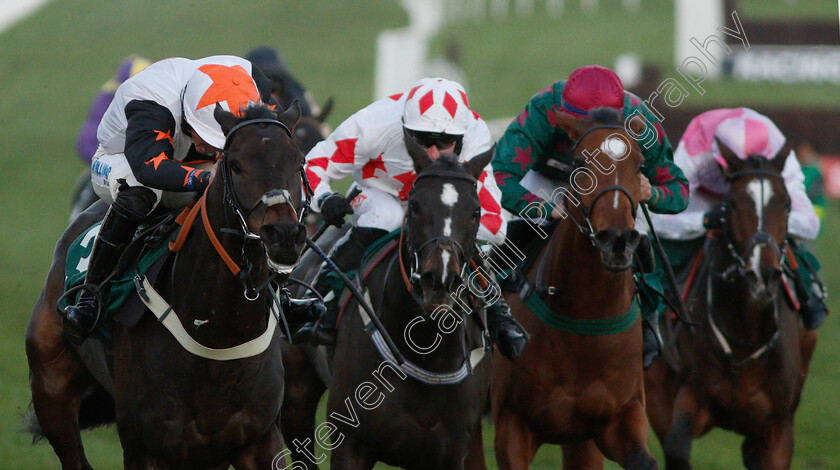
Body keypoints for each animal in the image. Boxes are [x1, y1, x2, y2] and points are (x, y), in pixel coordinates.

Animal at [25, 101, 308, 468]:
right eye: (235, 164)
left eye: (299, 161)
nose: (284, 235)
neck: (217, 334)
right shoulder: (144, 448)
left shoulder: (258, 438)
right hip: (51, 392)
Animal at [488, 108, 660, 468]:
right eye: (580, 163)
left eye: (639, 165)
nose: (617, 240)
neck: (585, 316)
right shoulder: (511, 427)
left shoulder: (621, 418)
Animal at [644, 140, 820, 470]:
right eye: (733, 204)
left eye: (787, 204)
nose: (762, 274)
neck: (745, 335)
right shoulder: (691, 397)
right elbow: (676, 446)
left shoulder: (779, 427)